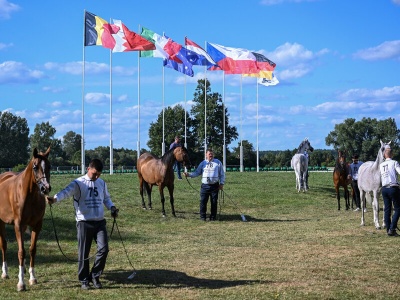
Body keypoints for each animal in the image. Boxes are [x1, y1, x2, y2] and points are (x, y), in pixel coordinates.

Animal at [0, 148, 51, 290]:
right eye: (35, 167)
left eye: (49, 166)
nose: (46, 188)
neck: (29, 195)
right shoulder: (18, 225)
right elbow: (21, 252)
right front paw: (21, 283)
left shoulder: (37, 225)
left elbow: (32, 250)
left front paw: (32, 278)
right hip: (1, 223)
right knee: (3, 245)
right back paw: (5, 273)